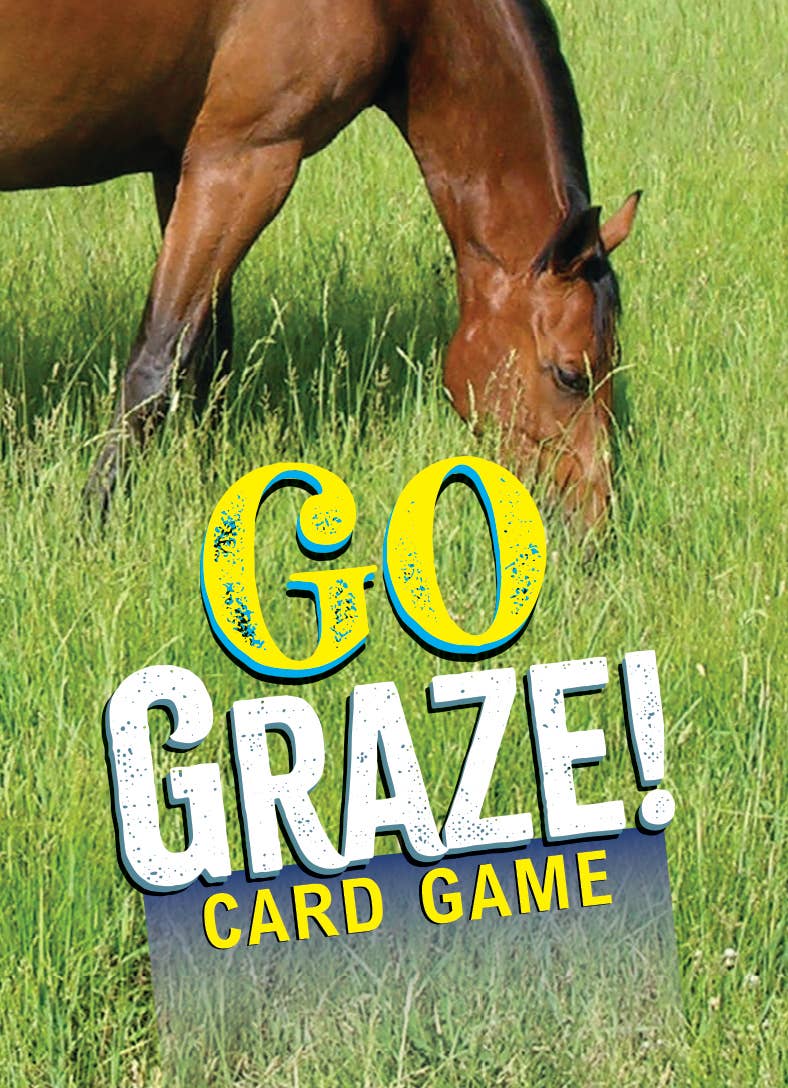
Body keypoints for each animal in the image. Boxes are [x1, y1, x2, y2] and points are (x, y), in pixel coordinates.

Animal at [0, 0, 639, 526]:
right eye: (571, 375)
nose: (594, 528)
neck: (400, 8)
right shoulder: (247, 158)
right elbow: (159, 361)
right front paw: (94, 521)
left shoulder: (187, 161)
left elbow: (210, 351)